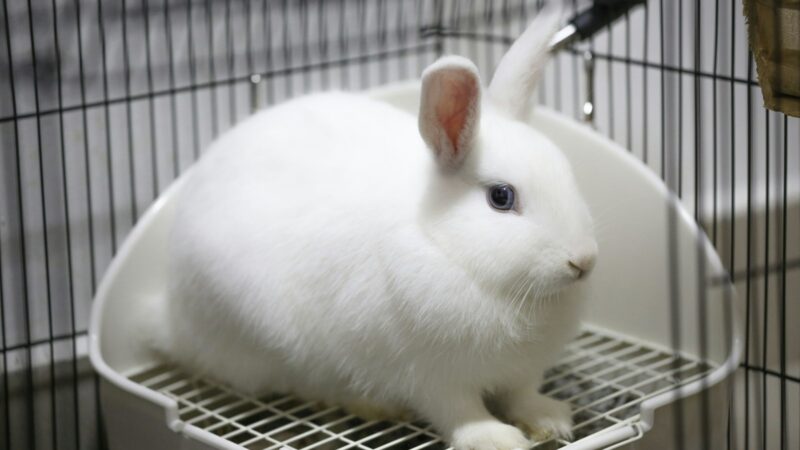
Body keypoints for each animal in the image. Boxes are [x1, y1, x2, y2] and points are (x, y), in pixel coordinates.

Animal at [152, 5, 597, 450]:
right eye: (501, 197)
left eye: (566, 173)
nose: (583, 262)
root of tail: (169, 319)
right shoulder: (430, 376)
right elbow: (460, 413)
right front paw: (494, 439)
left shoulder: (522, 370)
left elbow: (521, 395)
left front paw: (549, 419)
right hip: (263, 339)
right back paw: (370, 405)